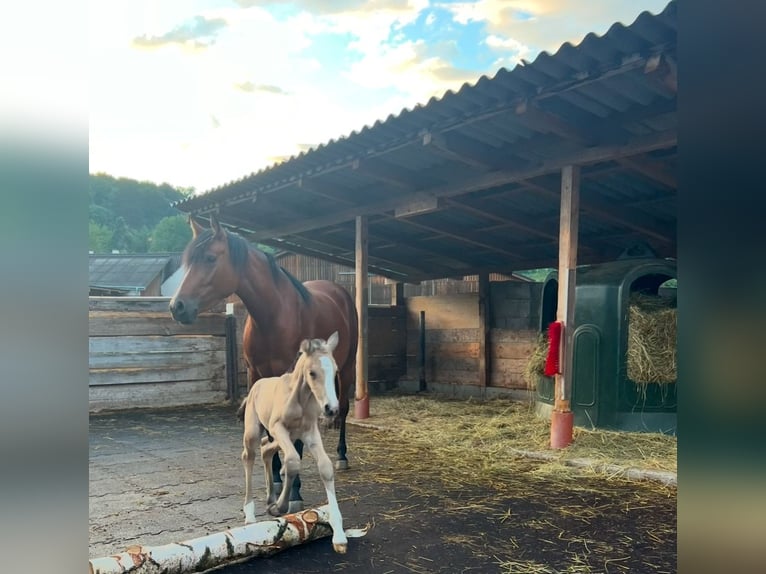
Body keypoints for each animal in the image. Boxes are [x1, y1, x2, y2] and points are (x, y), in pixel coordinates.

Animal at [169, 216, 360, 512]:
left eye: (211, 258)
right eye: (188, 261)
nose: (177, 306)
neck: (273, 315)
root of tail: (339, 291)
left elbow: (295, 440)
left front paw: (294, 492)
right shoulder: (256, 375)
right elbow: (270, 432)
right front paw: (277, 480)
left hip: (349, 367)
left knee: (345, 409)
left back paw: (342, 456)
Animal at [242, 336, 350, 556]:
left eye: (335, 371)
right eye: (312, 373)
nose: (331, 409)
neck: (300, 398)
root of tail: (257, 384)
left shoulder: (310, 433)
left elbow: (325, 467)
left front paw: (339, 537)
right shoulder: (279, 428)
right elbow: (292, 461)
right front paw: (279, 508)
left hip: (284, 438)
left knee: (266, 448)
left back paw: (270, 498)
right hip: (254, 431)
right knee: (249, 455)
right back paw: (250, 514)